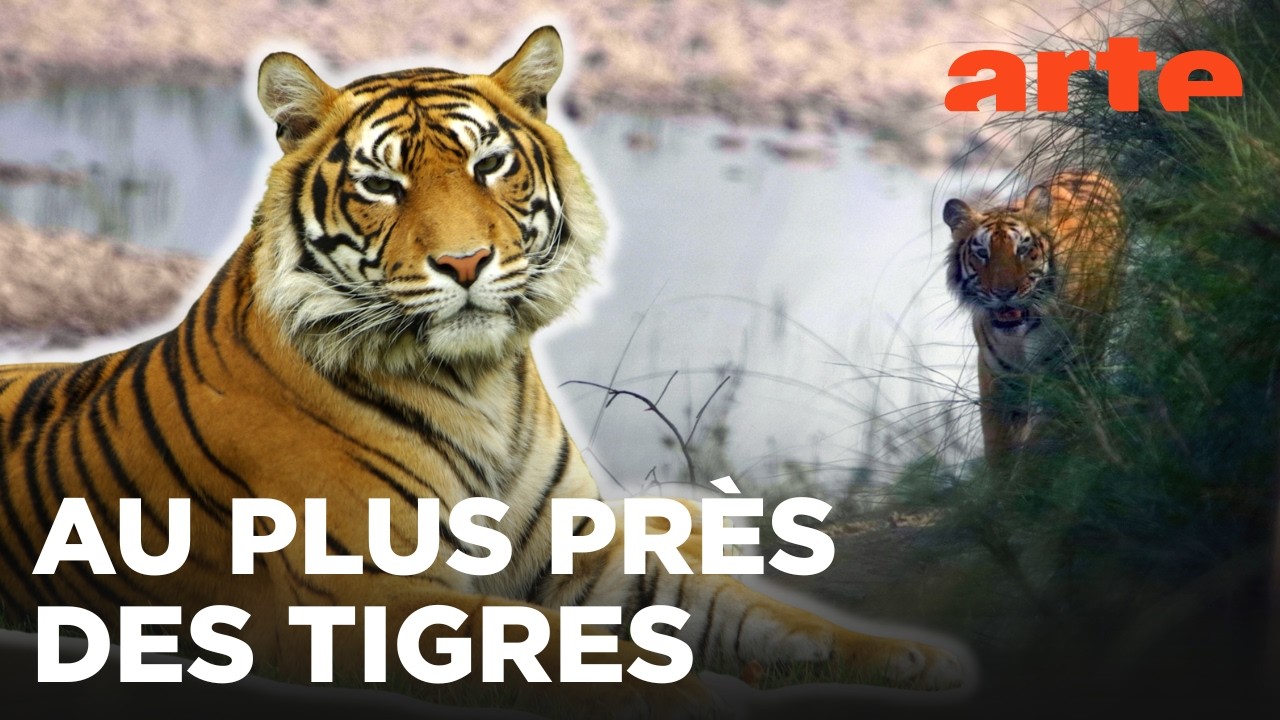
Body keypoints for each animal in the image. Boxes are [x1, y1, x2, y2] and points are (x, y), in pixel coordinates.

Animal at [0, 26, 962, 718]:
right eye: (381, 187)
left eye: (489, 165)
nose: (464, 263)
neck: (476, 382)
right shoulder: (362, 593)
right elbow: (544, 647)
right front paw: (693, 695)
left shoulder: (584, 556)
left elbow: (757, 612)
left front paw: (914, 655)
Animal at [943, 169, 1125, 467]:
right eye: (982, 253)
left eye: (1023, 250)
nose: (1004, 292)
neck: (1018, 337)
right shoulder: (999, 381)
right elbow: (1000, 449)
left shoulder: (1066, 377)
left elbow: (1040, 446)